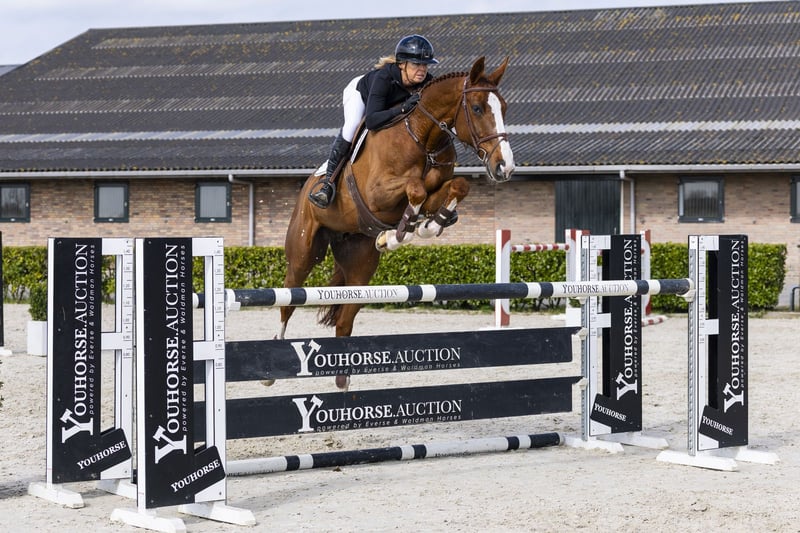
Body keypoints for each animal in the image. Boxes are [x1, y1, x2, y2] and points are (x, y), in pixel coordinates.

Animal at [280, 56, 514, 387]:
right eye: (478, 108)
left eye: (503, 108)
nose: (505, 167)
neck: (423, 137)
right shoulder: (378, 194)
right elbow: (415, 187)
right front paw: (399, 233)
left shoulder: (436, 189)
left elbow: (457, 187)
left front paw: (426, 225)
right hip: (303, 252)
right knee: (288, 301)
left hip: (360, 267)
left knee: (344, 321)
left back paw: (343, 383)